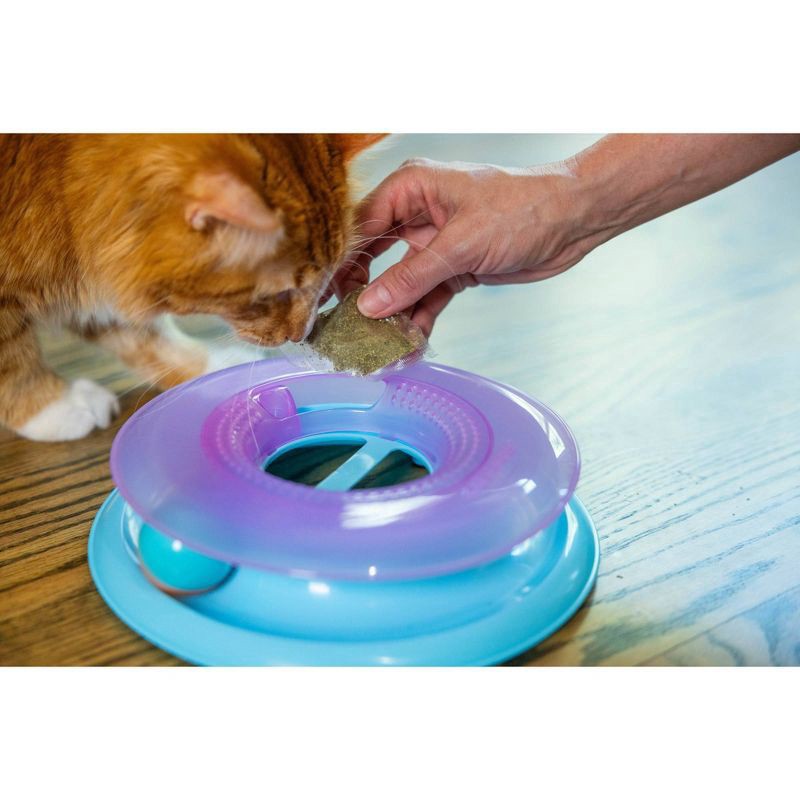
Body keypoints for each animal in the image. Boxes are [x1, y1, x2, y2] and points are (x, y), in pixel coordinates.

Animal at [0, 133, 384, 441]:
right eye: (273, 295)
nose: (301, 334)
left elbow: (142, 335)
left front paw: (211, 365)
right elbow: (15, 362)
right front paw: (51, 408)